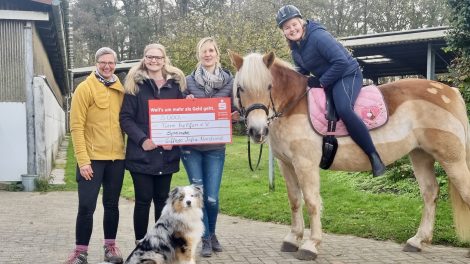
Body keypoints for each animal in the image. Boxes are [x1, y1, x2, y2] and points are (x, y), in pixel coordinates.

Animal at [229, 50, 470, 260]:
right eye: (240, 88)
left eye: (269, 86)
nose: (257, 131)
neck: (293, 105)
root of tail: (451, 92)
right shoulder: (286, 164)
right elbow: (295, 201)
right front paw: (292, 239)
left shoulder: (305, 164)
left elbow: (312, 202)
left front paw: (310, 244)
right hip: (420, 155)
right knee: (430, 193)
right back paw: (417, 241)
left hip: (452, 158)